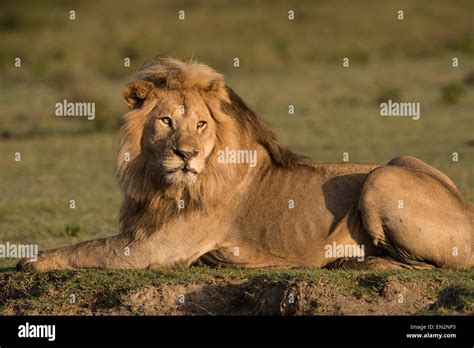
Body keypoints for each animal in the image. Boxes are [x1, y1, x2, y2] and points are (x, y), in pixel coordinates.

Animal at [16, 57, 472, 272]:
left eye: (200, 124)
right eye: (166, 121)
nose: (186, 155)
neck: (160, 180)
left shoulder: (157, 248)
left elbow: (86, 248)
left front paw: (30, 260)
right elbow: (90, 244)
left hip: (382, 177)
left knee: (424, 264)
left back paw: (352, 261)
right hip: (400, 162)